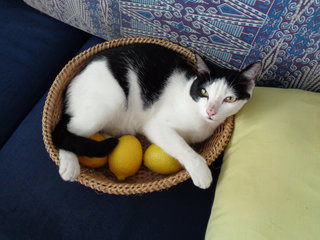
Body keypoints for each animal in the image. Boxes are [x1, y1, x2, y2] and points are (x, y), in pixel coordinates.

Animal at [52, 43, 262, 189]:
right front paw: (202, 172)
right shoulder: (156, 126)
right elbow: (182, 147)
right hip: (110, 100)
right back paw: (70, 165)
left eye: (229, 99)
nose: (211, 111)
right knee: (64, 132)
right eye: (204, 92)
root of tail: (74, 79)